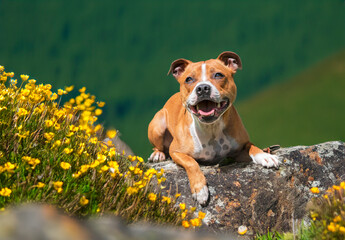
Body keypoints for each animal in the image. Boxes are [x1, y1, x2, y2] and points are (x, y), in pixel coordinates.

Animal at [146, 51, 278, 205]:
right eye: (189, 79)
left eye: (218, 75)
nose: (202, 88)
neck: (211, 128)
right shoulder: (177, 152)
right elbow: (192, 163)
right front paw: (200, 189)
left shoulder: (238, 150)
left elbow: (252, 147)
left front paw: (265, 156)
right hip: (158, 124)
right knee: (158, 146)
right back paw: (158, 154)